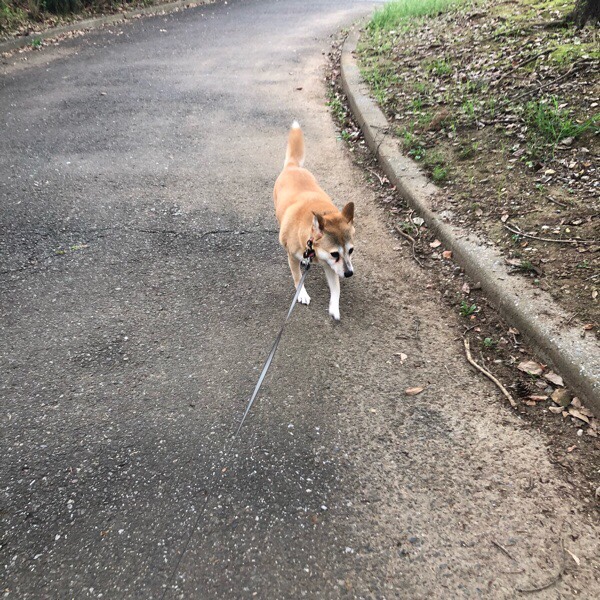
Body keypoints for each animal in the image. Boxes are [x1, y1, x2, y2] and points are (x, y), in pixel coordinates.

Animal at [273, 121, 355, 320]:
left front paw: (334, 307)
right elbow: (297, 278)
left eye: (351, 250)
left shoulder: (330, 266)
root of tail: (293, 166)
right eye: (335, 253)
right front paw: (302, 293)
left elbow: (336, 288)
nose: (349, 273)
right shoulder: (292, 257)